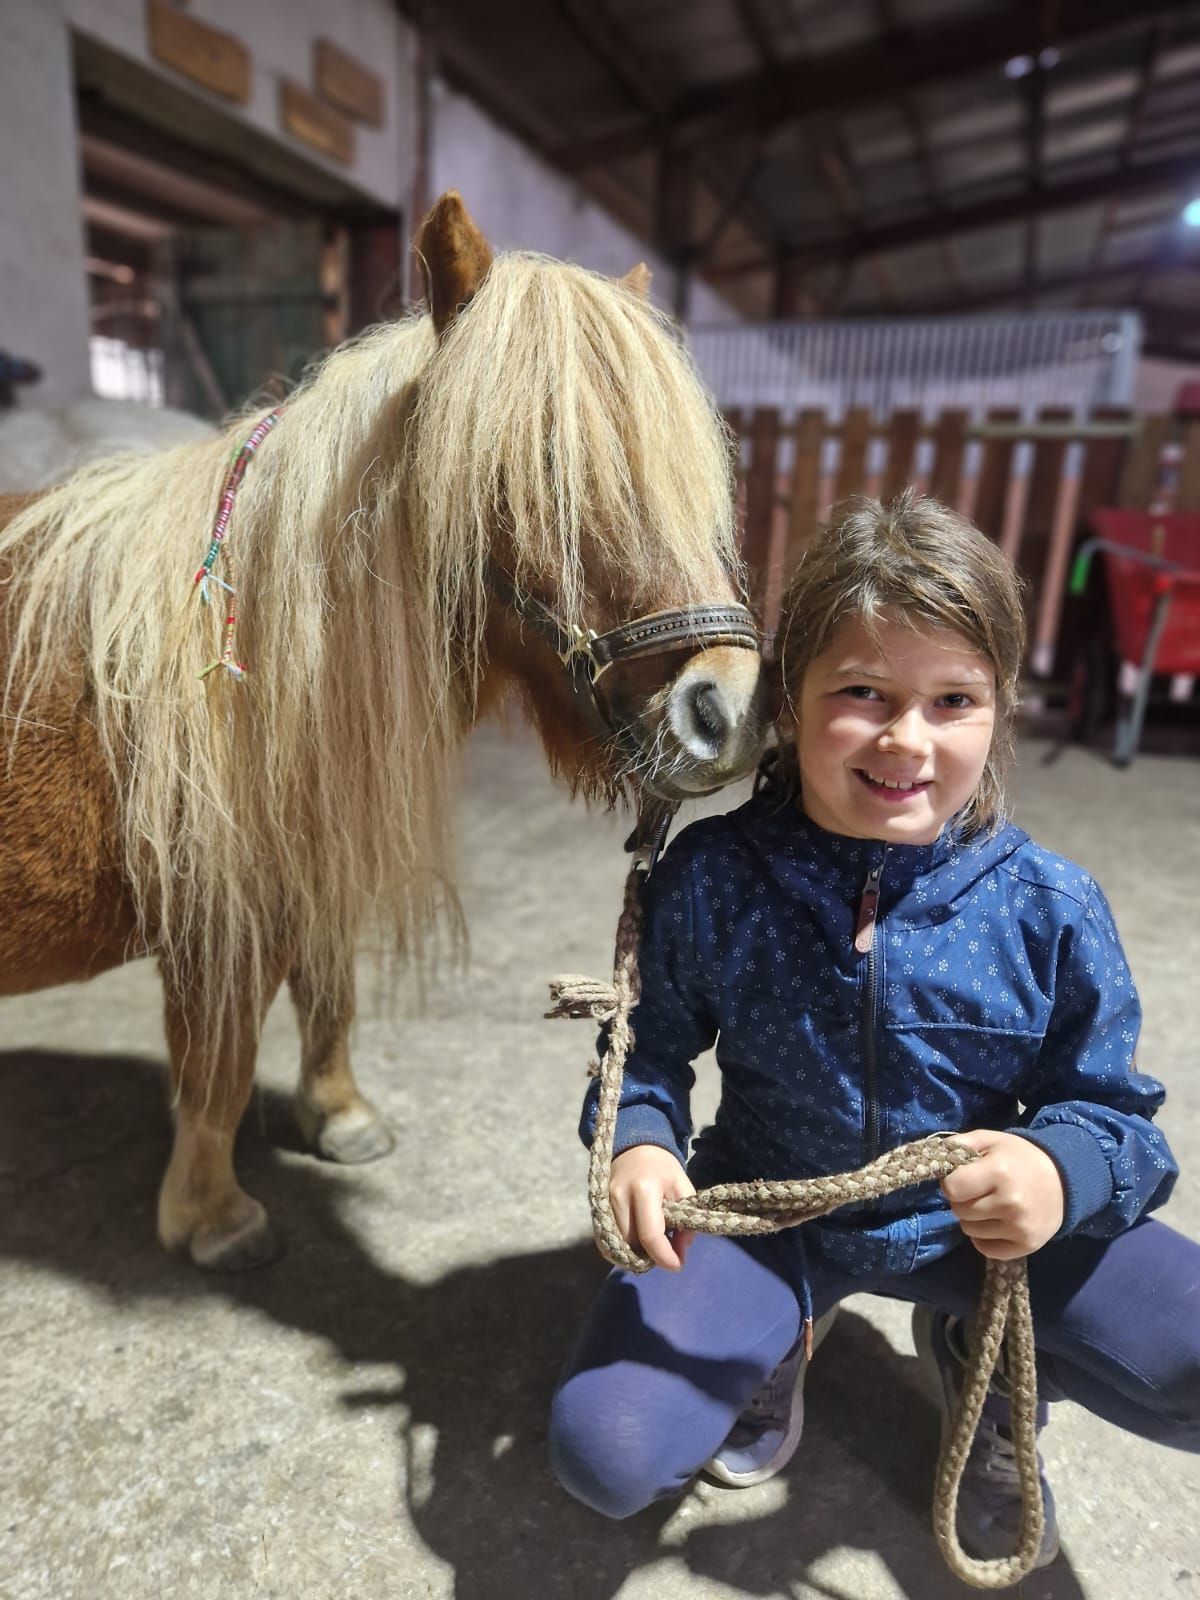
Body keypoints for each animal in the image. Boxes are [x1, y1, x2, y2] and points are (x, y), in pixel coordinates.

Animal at [0, 192, 769, 1271]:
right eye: (541, 463)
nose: (727, 711)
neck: (244, 655)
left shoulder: (311, 868)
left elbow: (330, 995)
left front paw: (339, 1116)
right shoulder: (218, 921)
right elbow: (219, 1060)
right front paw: (214, 1217)